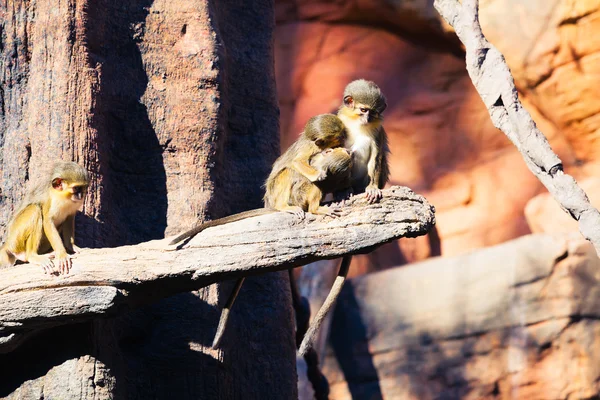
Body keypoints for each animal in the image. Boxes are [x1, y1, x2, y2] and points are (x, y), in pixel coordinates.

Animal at [298, 78, 392, 356]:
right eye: (363, 110)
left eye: (374, 112)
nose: (368, 117)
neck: (357, 124)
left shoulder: (377, 130)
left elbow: (376, 152)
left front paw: (373, 189)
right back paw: (345, 191)